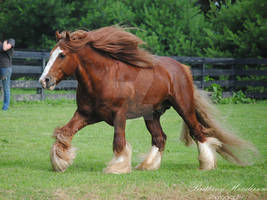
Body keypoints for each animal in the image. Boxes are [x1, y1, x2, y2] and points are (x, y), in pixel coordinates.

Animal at [39, 26, 258, 173]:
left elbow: (119, 140)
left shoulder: (118, 114)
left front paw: (117, 166)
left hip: (184, 107)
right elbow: (64, 132)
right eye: (50, 54)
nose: (44, 80)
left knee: (198, 131)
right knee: (160, 138)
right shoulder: (86, 114)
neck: (104, 77)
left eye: (62, 55)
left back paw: (206, 163)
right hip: (152, 115)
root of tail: (182, 68)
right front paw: (60, 161)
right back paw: (147, 165)